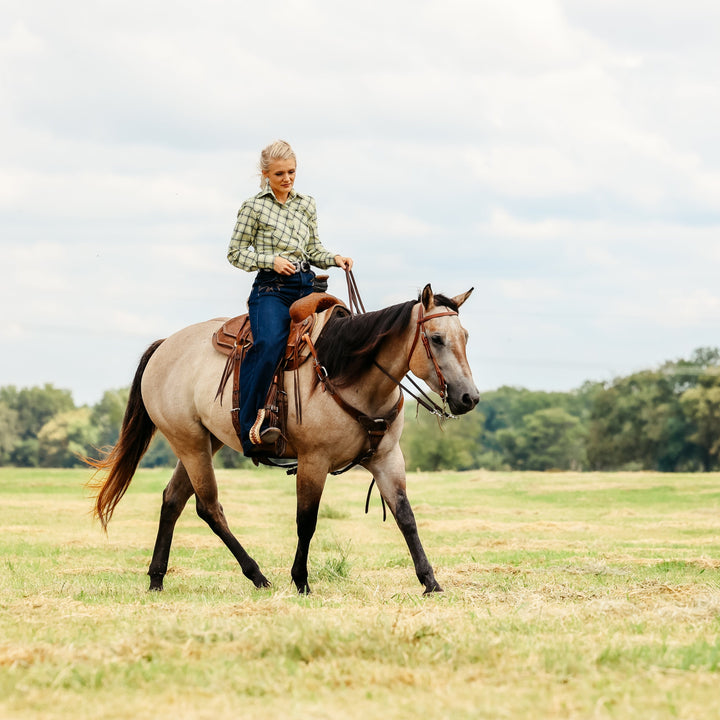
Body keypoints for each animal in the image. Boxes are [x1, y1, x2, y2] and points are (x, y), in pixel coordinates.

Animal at [90, 284, 480, 592]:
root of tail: (164, 346)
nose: (469, 398)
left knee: (173, 500)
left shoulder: (387, 459)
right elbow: (306, 521)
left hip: (205, 442)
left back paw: (157, 579)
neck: (348, 374)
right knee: (208, 507)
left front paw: (430, 581)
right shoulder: (313, 461)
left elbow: (405, 517)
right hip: (189, 443)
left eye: (466, 336)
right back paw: (257, 575)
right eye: (436, 339)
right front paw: (301, 581)